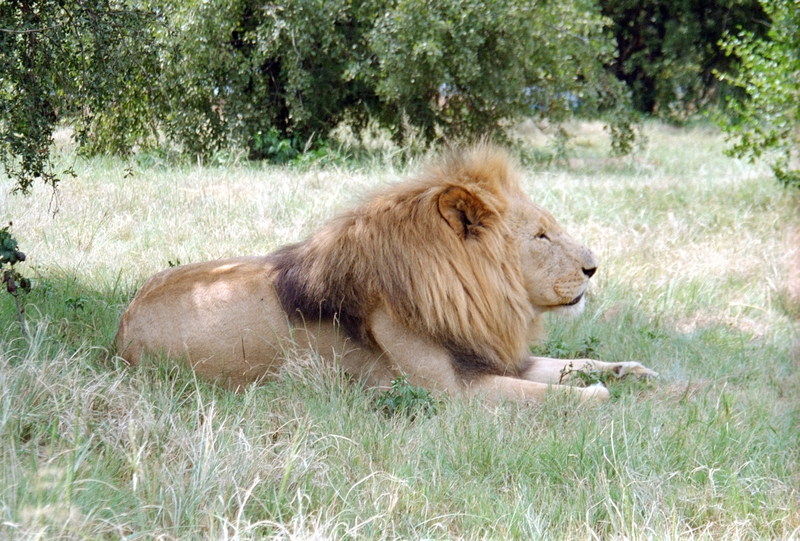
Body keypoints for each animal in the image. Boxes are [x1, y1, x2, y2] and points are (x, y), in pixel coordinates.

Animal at [117, 143, 656, 400]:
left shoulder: (489, 357)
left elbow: (578, 363)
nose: (593, 267)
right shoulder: (450, 392)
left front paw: (636, 373)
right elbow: (550, 396)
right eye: (541, 236)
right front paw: (600, 397)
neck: (472, 295)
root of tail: (121, 326)